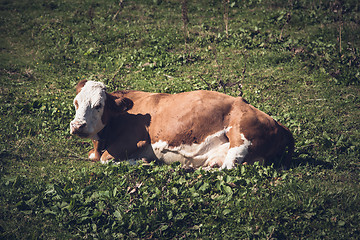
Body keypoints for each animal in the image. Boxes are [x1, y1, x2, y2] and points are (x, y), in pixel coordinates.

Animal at [69, 79, 294, 170]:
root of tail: (279, 124)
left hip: (240, 135)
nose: (77, 126)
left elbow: (105, 159)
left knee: (230, 167)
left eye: (98, 105)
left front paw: (143, 161)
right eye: (76, 102)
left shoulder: (134, 141)